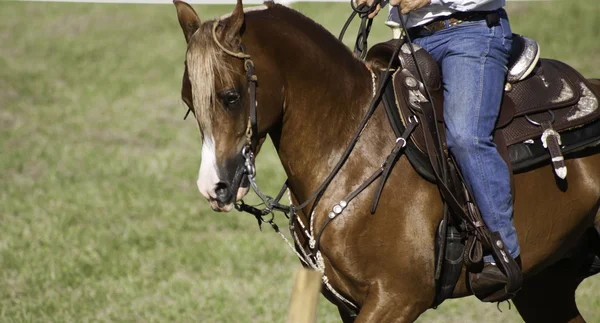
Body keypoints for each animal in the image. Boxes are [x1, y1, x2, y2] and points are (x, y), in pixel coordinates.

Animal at [172, 1, 600, 322]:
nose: (213, 187)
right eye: (188, 102)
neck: (353, 142)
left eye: (230, 96)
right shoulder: (350, 303)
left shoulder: (397, 299)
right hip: (545, 286)